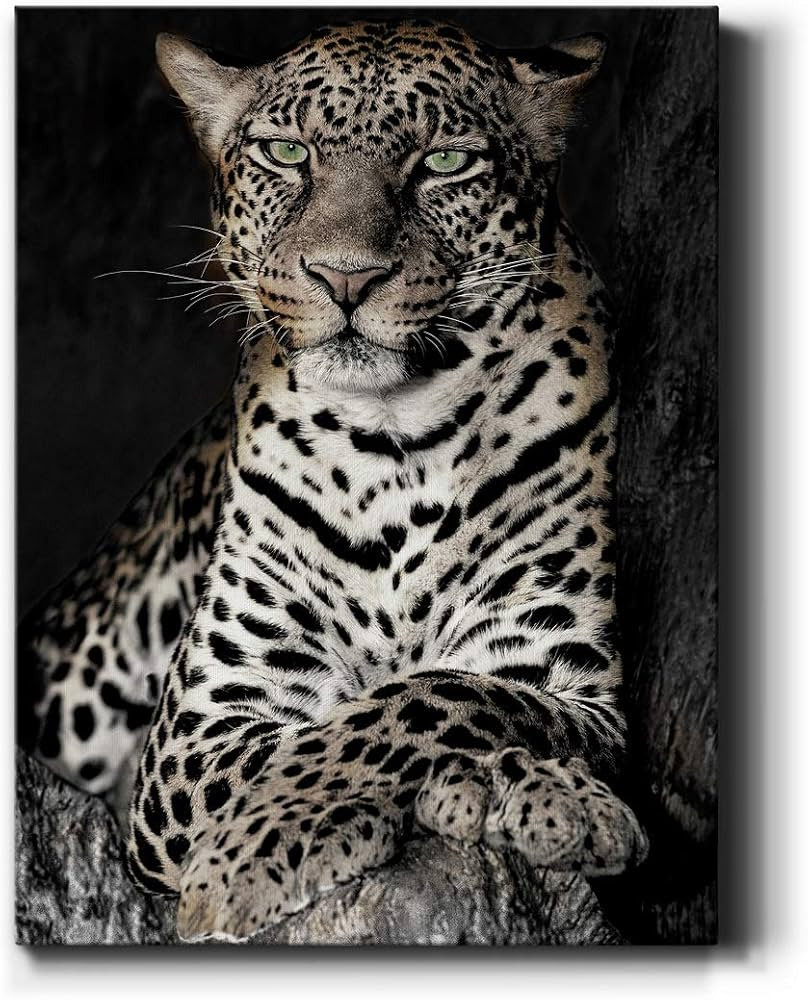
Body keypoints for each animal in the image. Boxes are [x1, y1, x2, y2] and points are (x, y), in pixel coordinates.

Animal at [18, 19, 648, 942]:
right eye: (287, 153)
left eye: (443, 163)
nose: (347, 275)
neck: (398, 441)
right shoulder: (202, 728)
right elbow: (323, 736)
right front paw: (251, 855)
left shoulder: (568, 676)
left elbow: (439, 697)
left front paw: (533, 791)